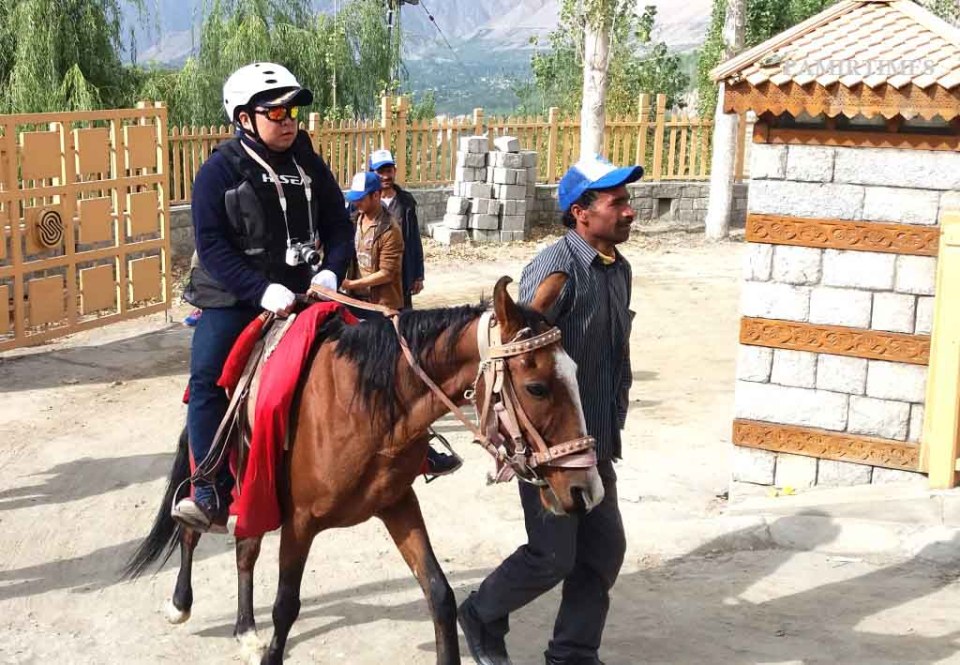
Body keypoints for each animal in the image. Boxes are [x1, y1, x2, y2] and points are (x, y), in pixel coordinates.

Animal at [120, 278, 600, 660]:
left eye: (576, 372)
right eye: (536, 387)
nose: (586, 490)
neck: (365, 405)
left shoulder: (398, 504)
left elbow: (440, 594)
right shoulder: (298, 522)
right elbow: (286, 607)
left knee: (244, 550)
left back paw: (245, 630)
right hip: (226, 477)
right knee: (192, 528)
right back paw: (181, 603)